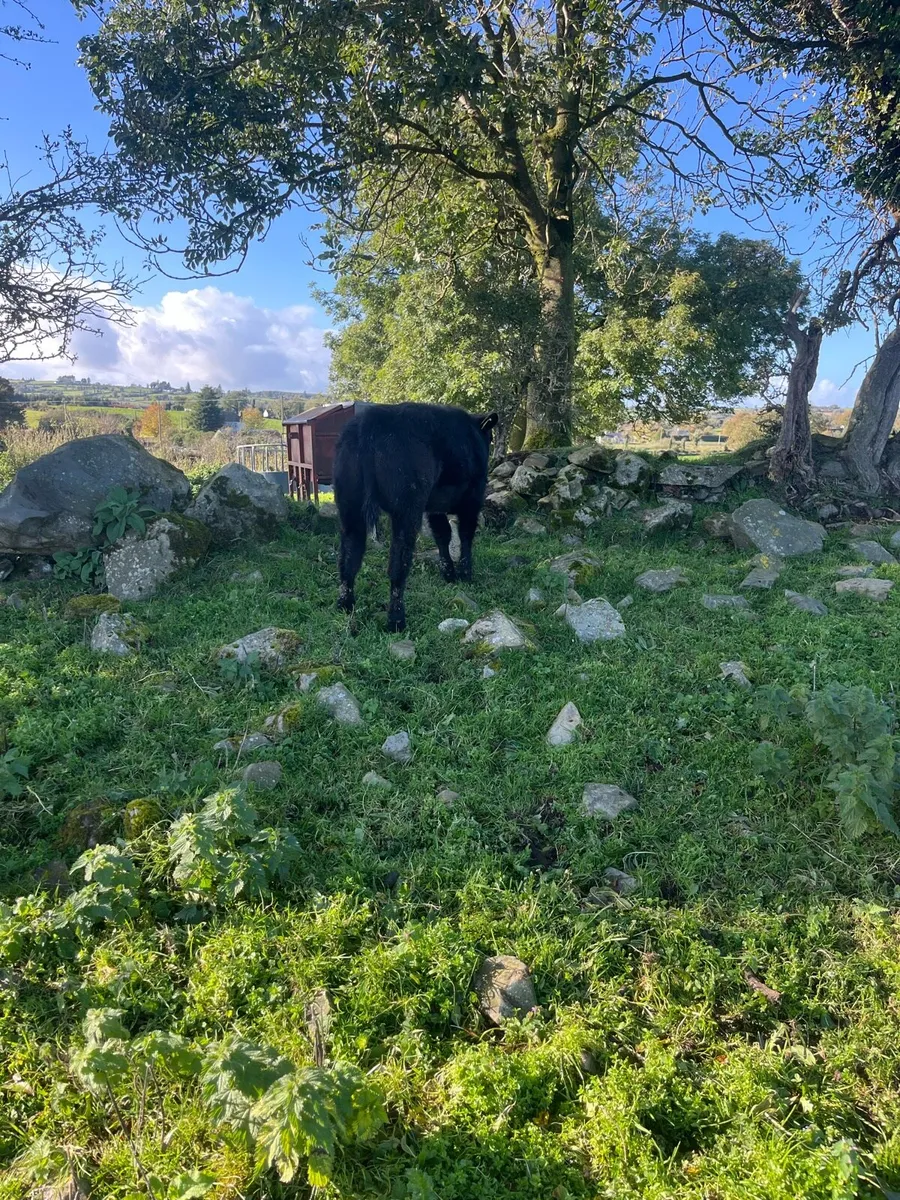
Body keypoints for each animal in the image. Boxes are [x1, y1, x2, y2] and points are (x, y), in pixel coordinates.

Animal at [333, 402, 498, 632]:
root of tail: (371, 419)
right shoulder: (472, 498)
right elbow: (465, 534)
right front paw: (465, 573)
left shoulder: (434, 507)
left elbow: (443, 534)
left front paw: (449, 573)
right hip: (407, 509)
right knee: (398, 563)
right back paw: (396, 620)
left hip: (350, 507)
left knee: (349, 557)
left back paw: (345, 606)